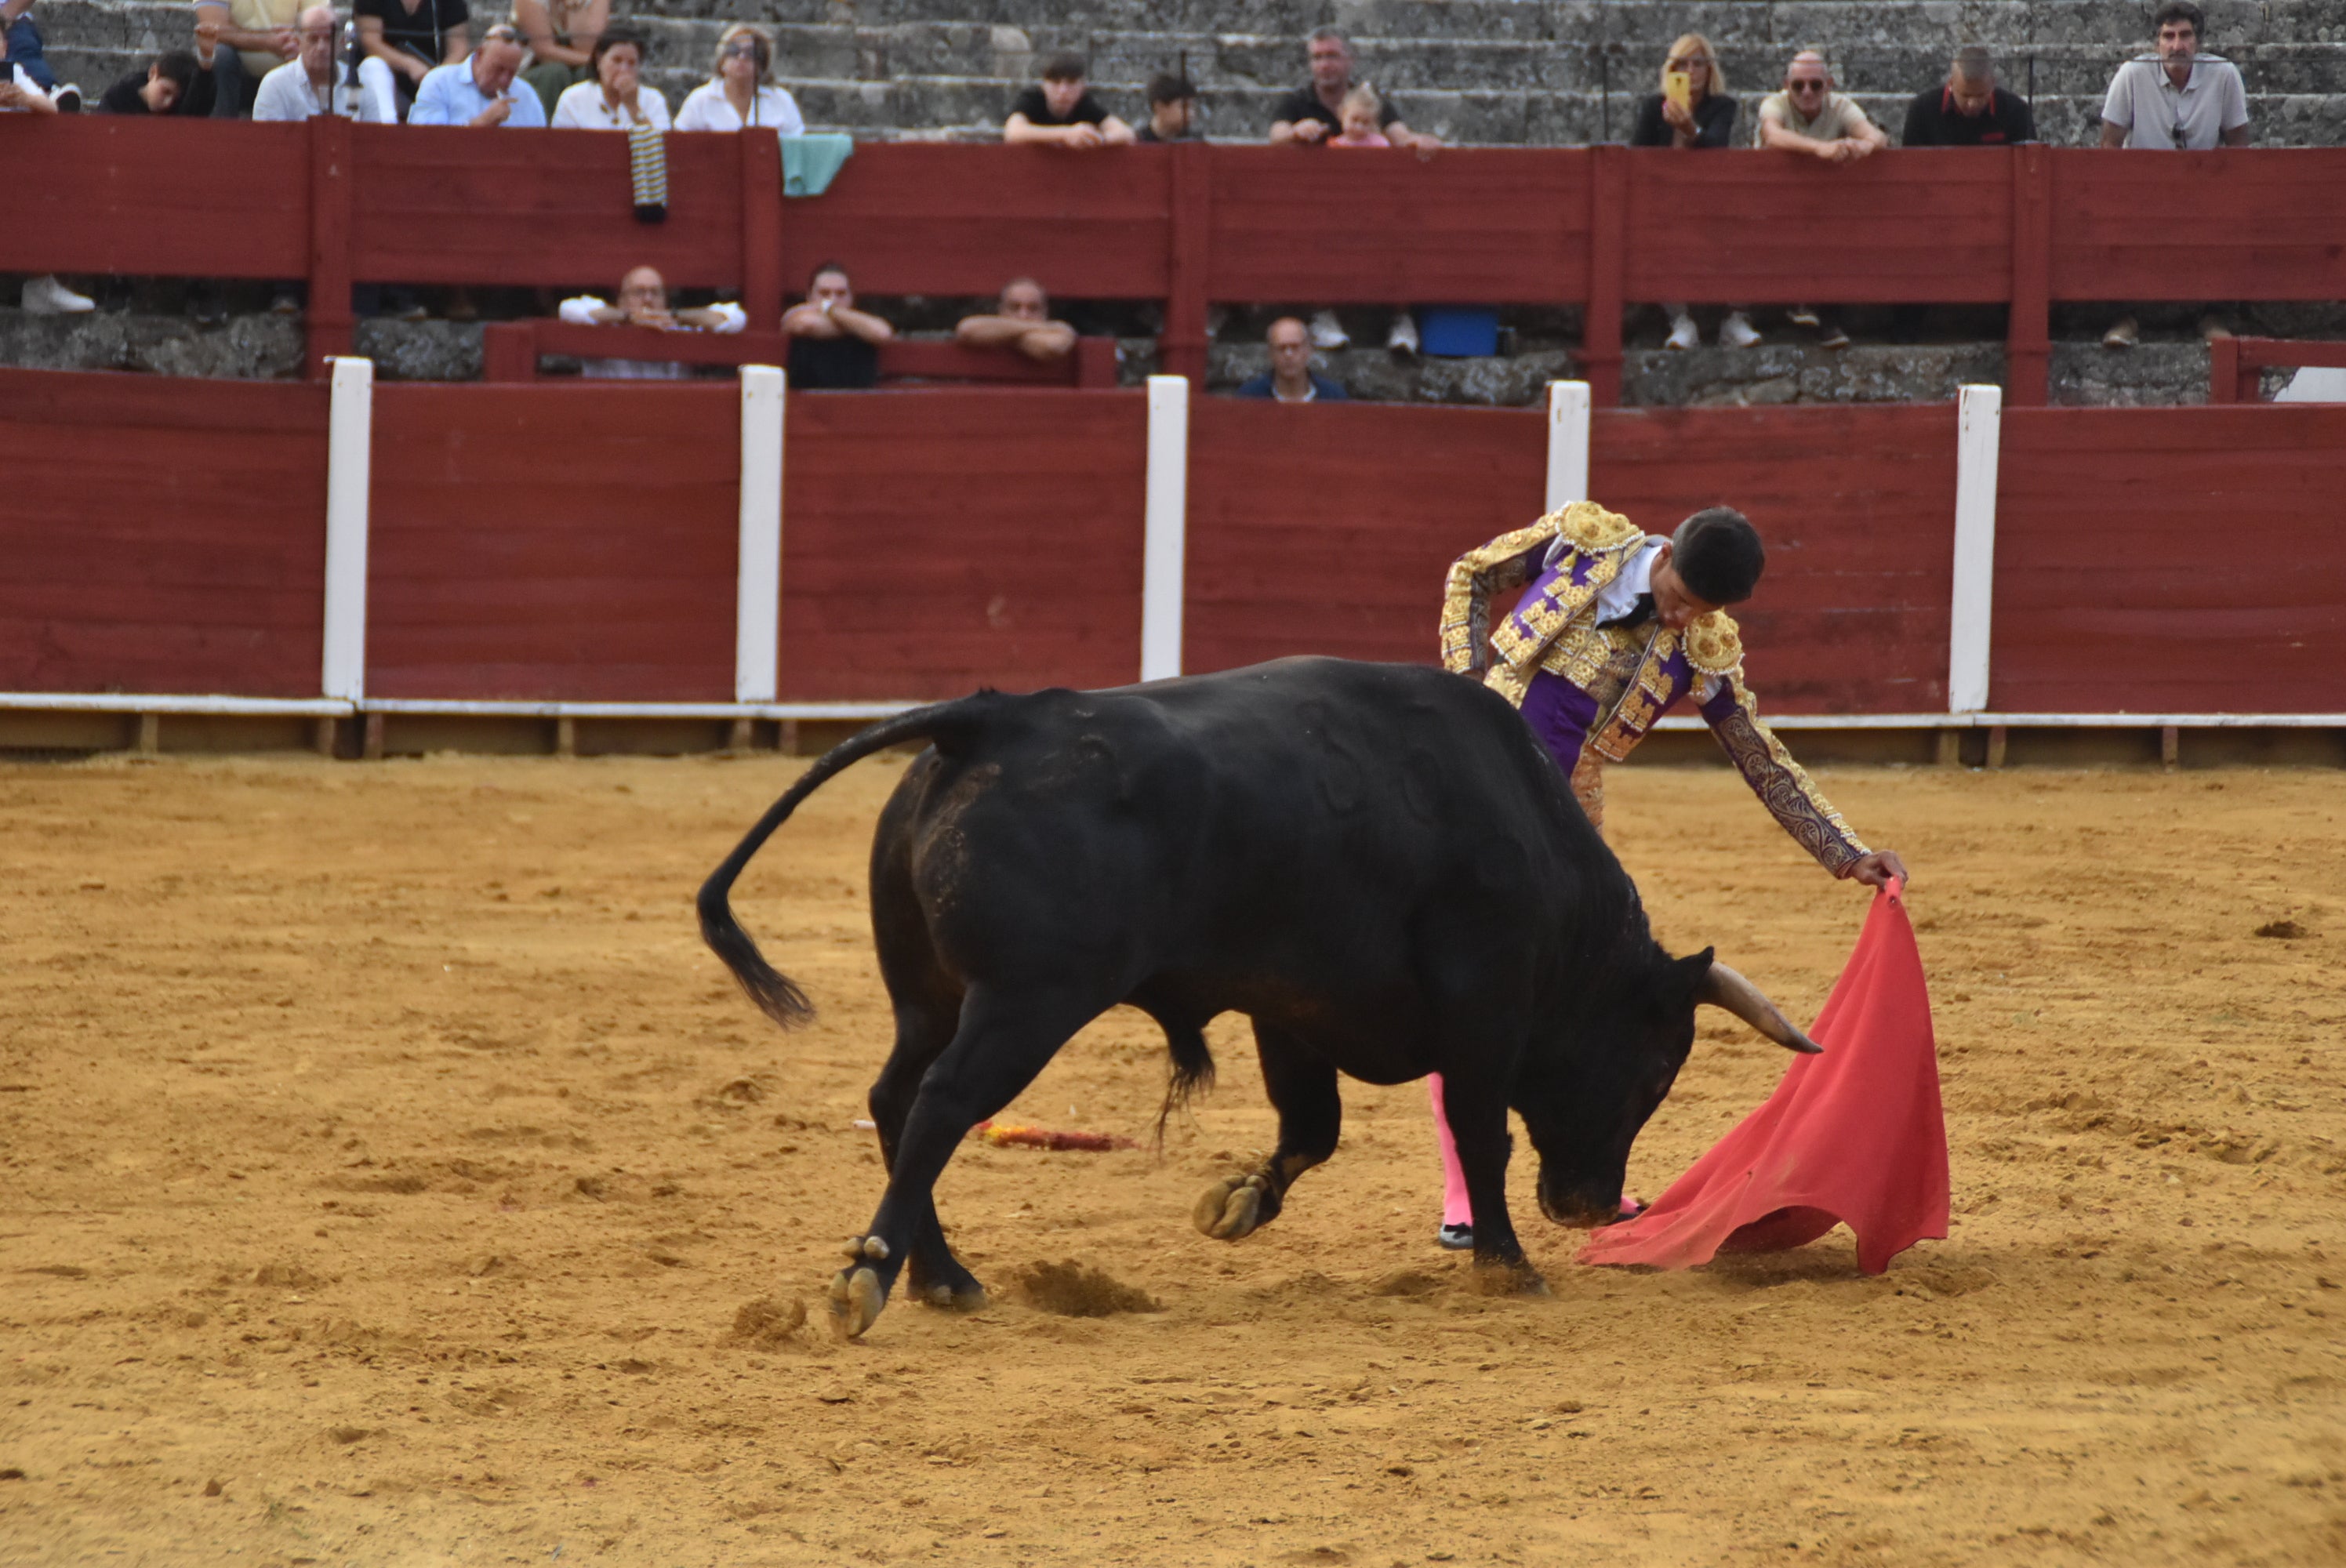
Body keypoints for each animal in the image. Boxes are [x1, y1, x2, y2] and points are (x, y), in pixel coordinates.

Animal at [694, 657, 1810, 1333]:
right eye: (1656, 1069)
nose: (1586, 1204)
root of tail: (996, 717)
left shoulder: (1295, 1008)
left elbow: (1310, 1129)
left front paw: (1235, 1201)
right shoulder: (1483, 1010)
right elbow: (1480, 1131)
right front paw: (1505, 1261)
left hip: (929, 996)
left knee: (894, 1096)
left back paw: (944, 1276)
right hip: (1027, 1001)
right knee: (941, 1104)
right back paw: (874, 1273)